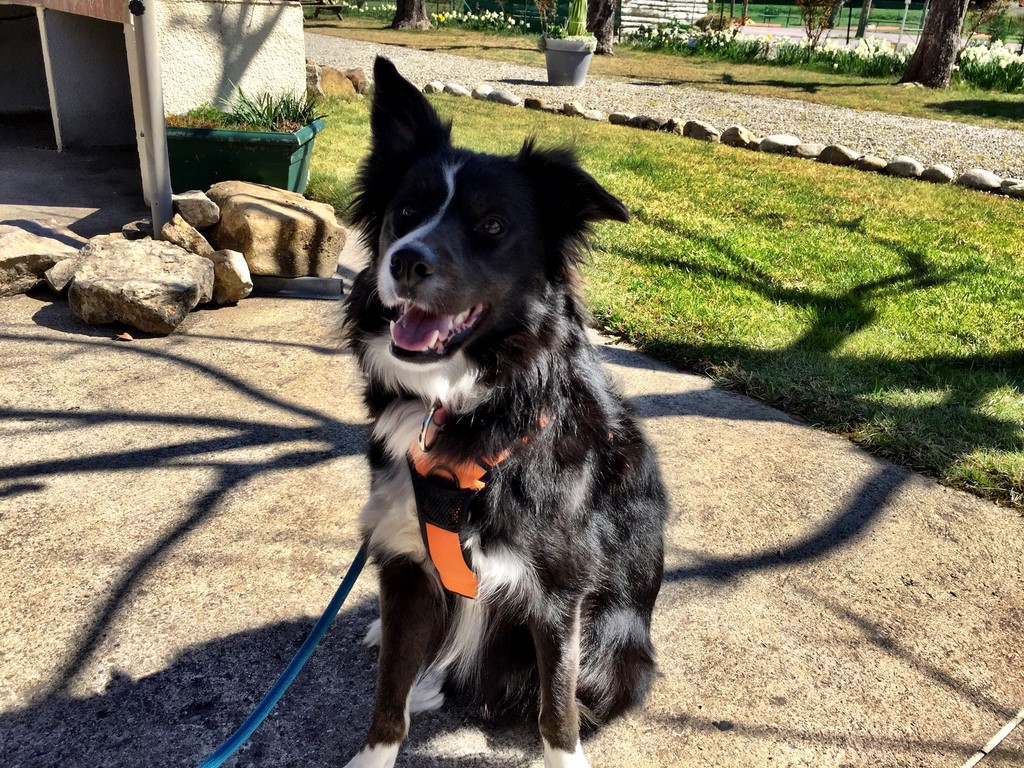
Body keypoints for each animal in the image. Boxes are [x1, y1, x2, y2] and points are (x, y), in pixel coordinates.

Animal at [341, 56, 668, 768]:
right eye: (406, 211)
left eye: (492, 226)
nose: (404, 261)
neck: (463, 408)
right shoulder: (405, 562)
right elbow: (387, 694)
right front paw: (377, 747)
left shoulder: (557, 592)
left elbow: (556, 710)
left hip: (617, 648)